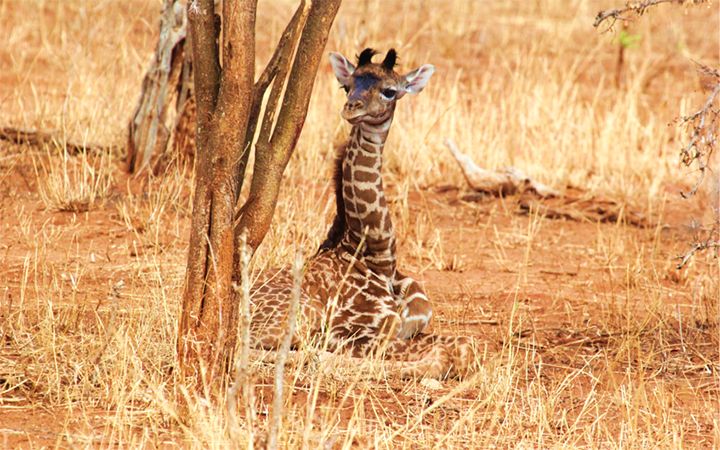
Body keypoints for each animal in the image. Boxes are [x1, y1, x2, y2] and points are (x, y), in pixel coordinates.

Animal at [250, 48, 476, 380]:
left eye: (390, 91)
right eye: (347, 86)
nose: (351, 108)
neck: (378, 257)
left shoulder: (412, 325)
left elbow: (463, 346)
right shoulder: (348, 330)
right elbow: (444, 353)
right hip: (298, 317)